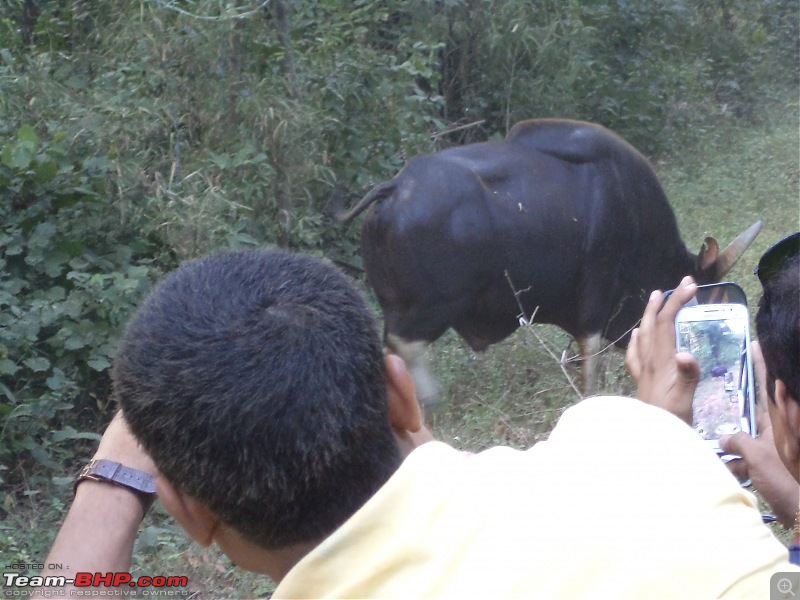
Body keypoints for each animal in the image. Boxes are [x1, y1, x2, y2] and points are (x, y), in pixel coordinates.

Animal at [338, 119, 764, 406]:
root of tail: (394, 188)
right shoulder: (597, 287)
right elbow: (590, 350)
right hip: (435, 305)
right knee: (402, 343)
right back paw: (427, 397)